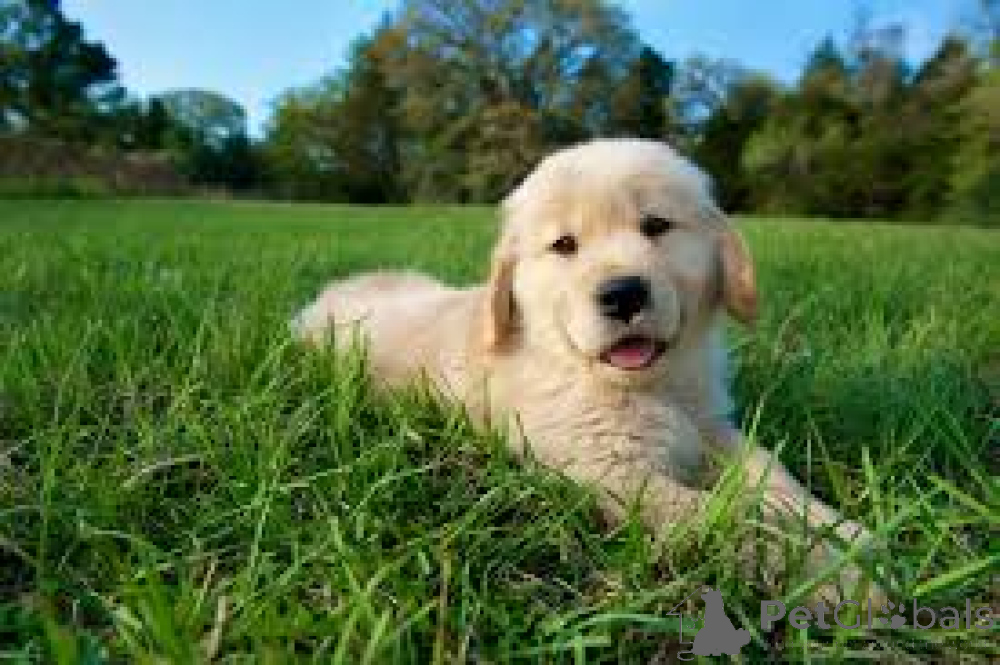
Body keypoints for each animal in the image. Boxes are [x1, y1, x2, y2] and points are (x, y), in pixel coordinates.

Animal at [293, 139, 875, 600]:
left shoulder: (712, 429)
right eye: (564, 245)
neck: (650, 387)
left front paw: (846, 536)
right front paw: (838, 575)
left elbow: (775, 479)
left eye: (656, 226)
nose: (623, 293)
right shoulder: (608, 470)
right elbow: (727, 516)